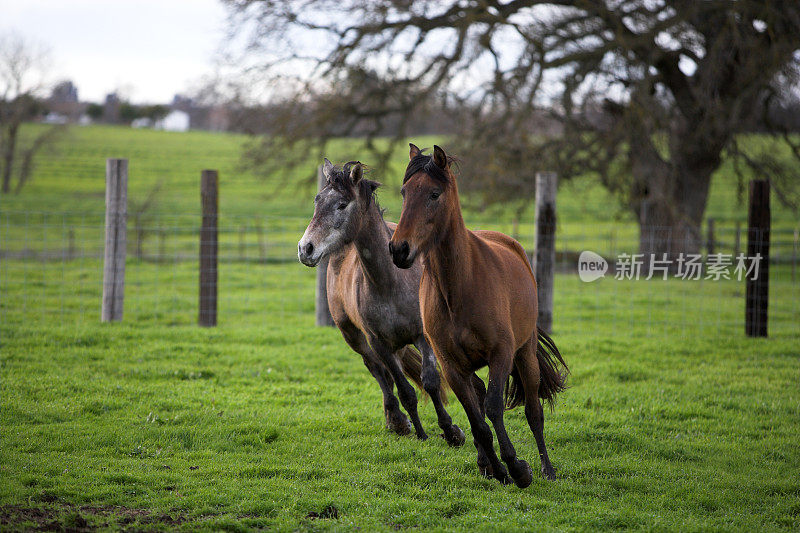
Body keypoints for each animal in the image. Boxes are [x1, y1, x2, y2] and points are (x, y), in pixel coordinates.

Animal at [298, 158, 462, 444]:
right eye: (317, 201)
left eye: (342, 204)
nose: (305, 248)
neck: (391, 283)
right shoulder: (378, 343)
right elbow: (404, 390)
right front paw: (419, 432)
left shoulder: (422, 335)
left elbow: (430, 381)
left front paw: (451, 430)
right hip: (353, 336)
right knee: (378, 371)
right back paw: (396, 420)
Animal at [390, 144, 568, 486]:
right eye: (404, 193)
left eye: (434, 194)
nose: (398, 249)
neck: (459, 287)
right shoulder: (451, 366)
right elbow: (478, 422)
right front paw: (499, 470)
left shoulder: (501, 353)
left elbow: (494, 407)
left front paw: (518, 468)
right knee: (480, 400)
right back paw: (486, 463)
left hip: (524, 354)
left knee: (532, 412)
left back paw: (547, 469)